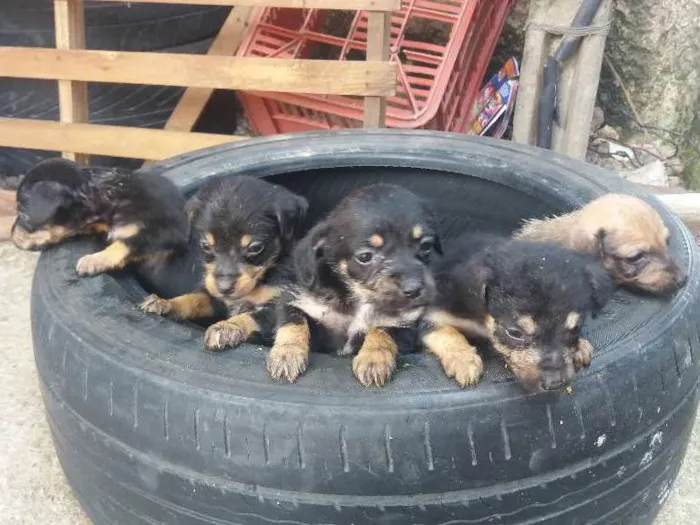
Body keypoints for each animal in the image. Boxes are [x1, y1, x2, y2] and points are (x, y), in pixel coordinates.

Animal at [141, 176, 308, 352]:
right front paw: (166, 302)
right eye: (206, 246)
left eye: (255, 248)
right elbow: (193, 299)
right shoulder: (214, 298)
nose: (224, 288)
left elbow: (248, 316)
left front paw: (227, 327)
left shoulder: (274, 307)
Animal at [270, 184, 440, 384]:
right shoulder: (294, 301)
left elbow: (382, 330)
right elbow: (293, 323)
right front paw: (286, 355)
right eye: (365, 257)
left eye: (426, 246)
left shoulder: (404, 325)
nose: (413, 289)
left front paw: (374, 359)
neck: (359, 299)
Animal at [422, 235, 612, 390]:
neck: (482, 319)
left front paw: (580, 347)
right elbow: (446, 331)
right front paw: (464, 359)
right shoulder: (429, 312)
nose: (555, 384)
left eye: (575, 328)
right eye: (514, 333)